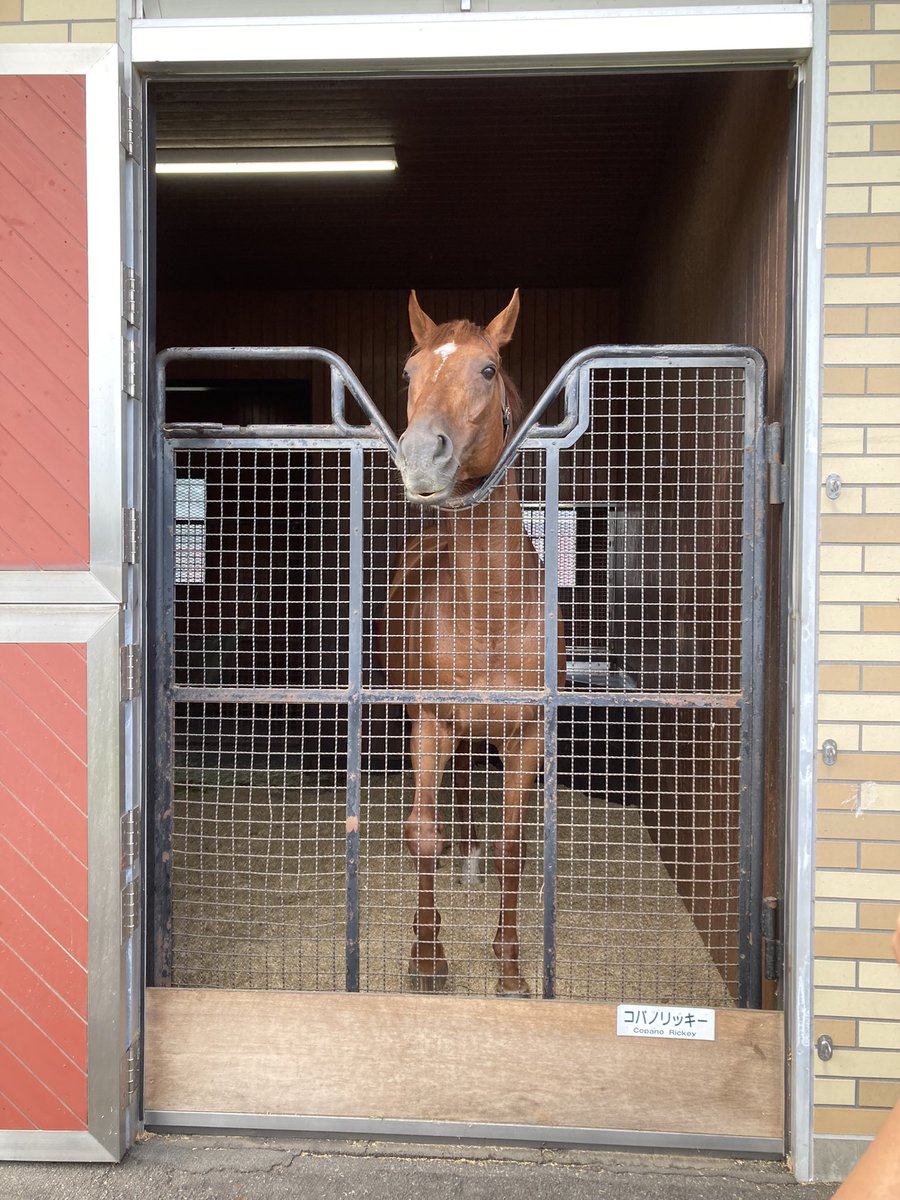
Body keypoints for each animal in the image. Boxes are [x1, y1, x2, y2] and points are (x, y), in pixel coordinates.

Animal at [381, 290, 563, 997]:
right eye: (409, 371)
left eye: (487, 369)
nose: (419, 458)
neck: (489, 607)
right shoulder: (431, 720)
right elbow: (421, 835)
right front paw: (427, 955)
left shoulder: (526, 735)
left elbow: (516, 846)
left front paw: (510, 967)